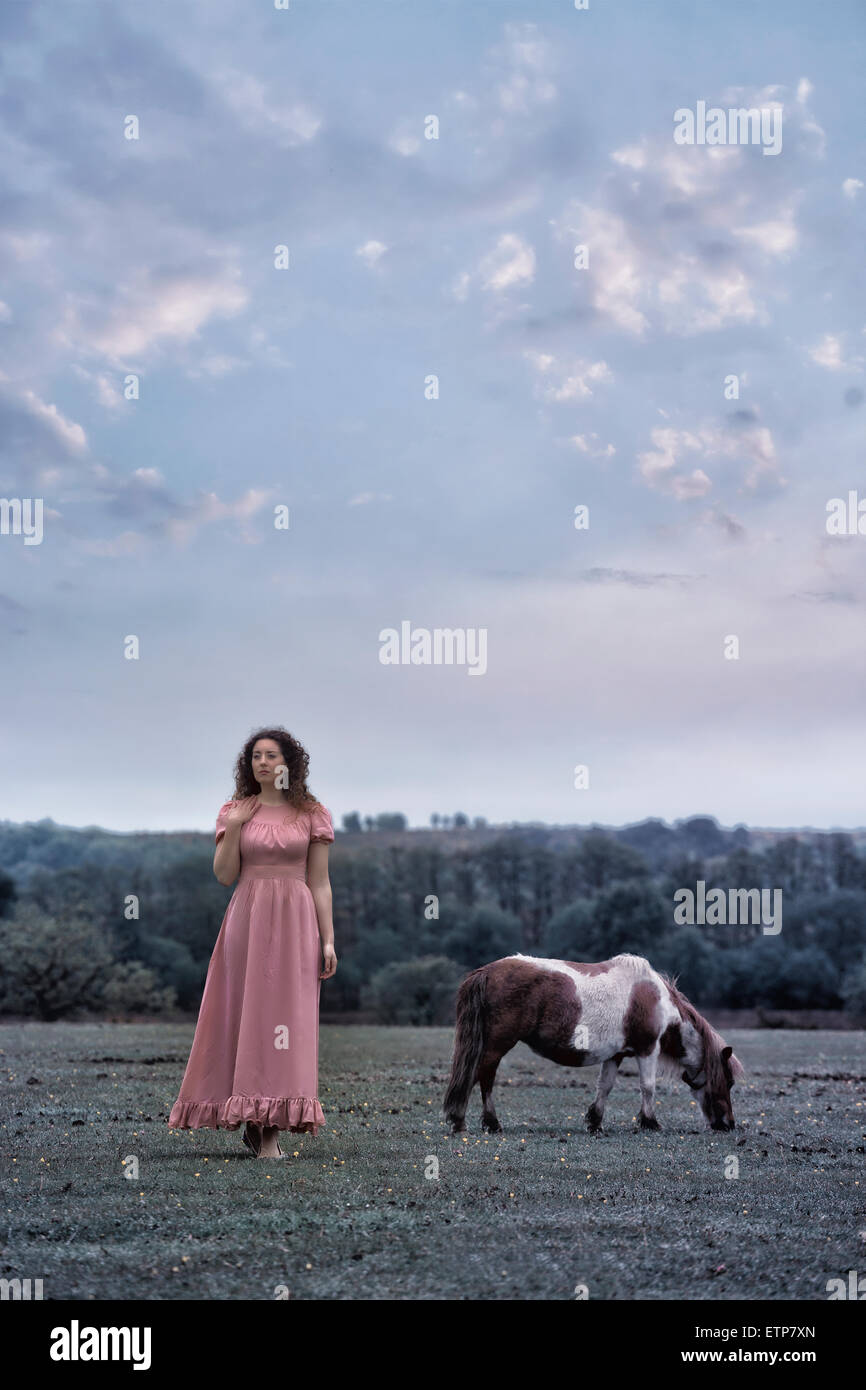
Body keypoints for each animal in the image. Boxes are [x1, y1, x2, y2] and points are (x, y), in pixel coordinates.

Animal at [447, 950, 745, 1134]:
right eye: (728, 1081)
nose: (728, 1124)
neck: (656, 999)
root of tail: (487, 971)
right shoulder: (647, 1049)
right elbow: (648, 1087)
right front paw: (650, 1122)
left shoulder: (616, 1055)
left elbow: (606, 1087)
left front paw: (595, 1123)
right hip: (498, 1044)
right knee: (483, 1076)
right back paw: (476, 1122)